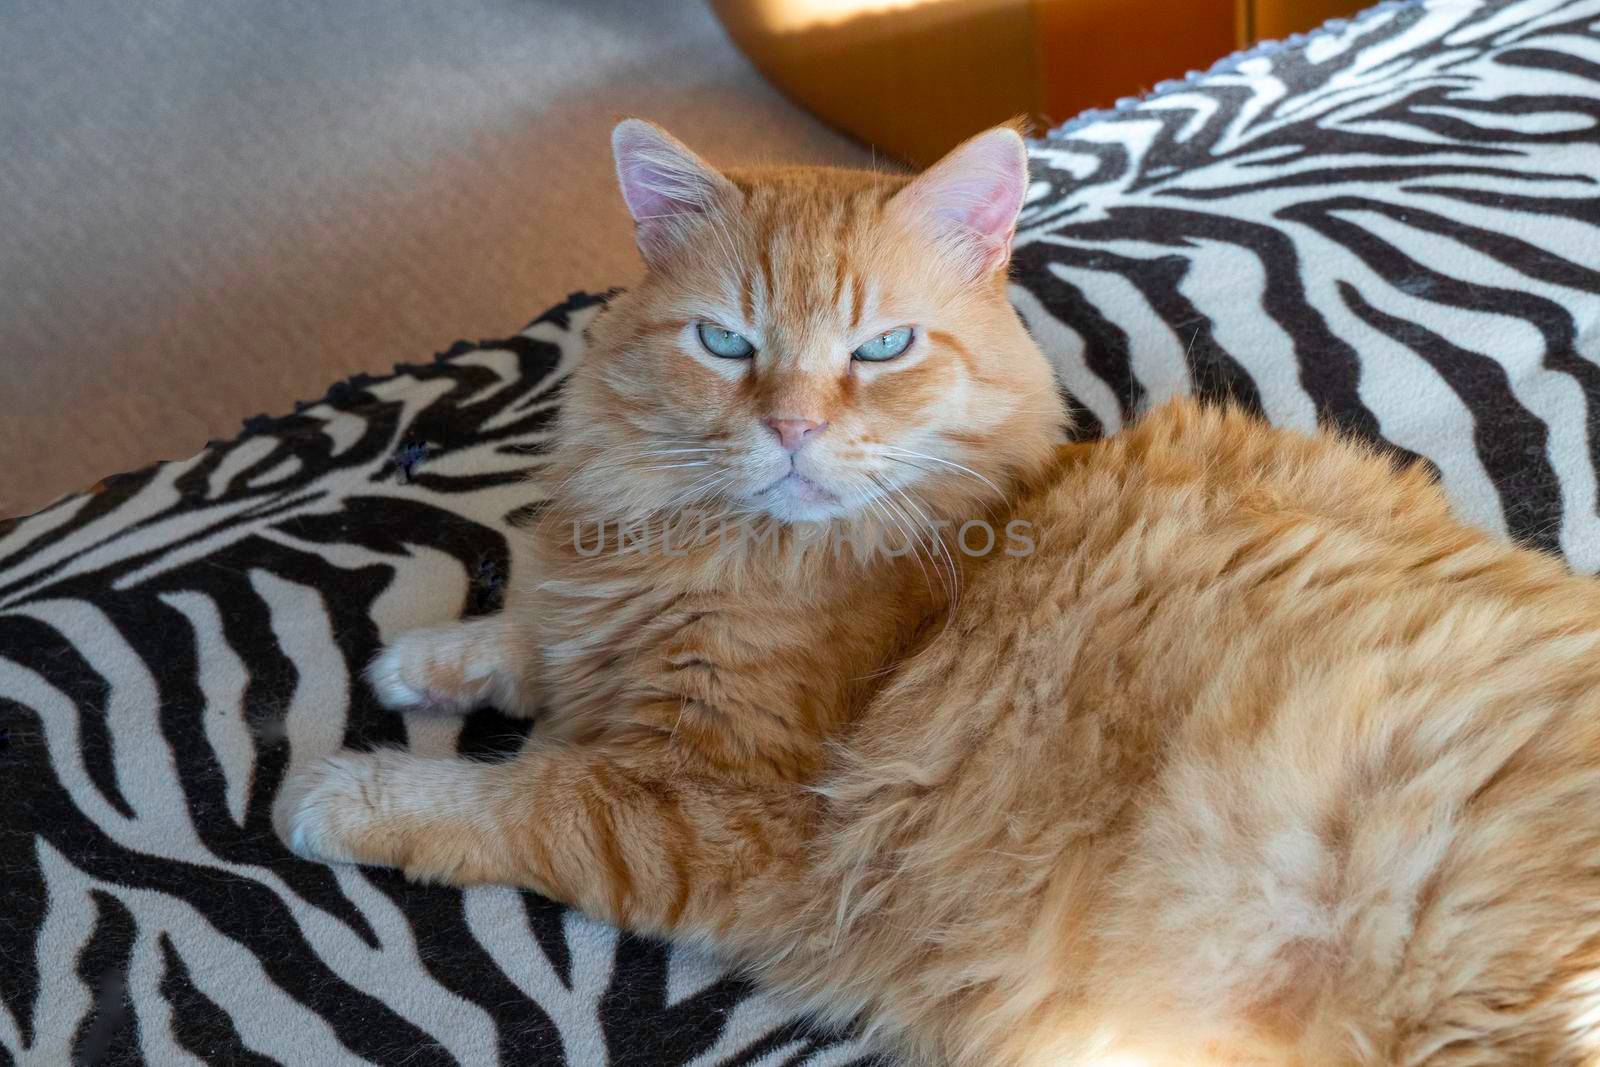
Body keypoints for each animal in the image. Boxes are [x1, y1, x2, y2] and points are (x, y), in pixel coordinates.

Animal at [278, 120, 1600, 1062]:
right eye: (725, 343)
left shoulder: (705, 810)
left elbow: (507, 796)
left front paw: (340, 786)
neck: (730, 544)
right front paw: (423, 657)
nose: (794, 427)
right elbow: (527, 635)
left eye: (880, 349)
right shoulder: (601, 626)